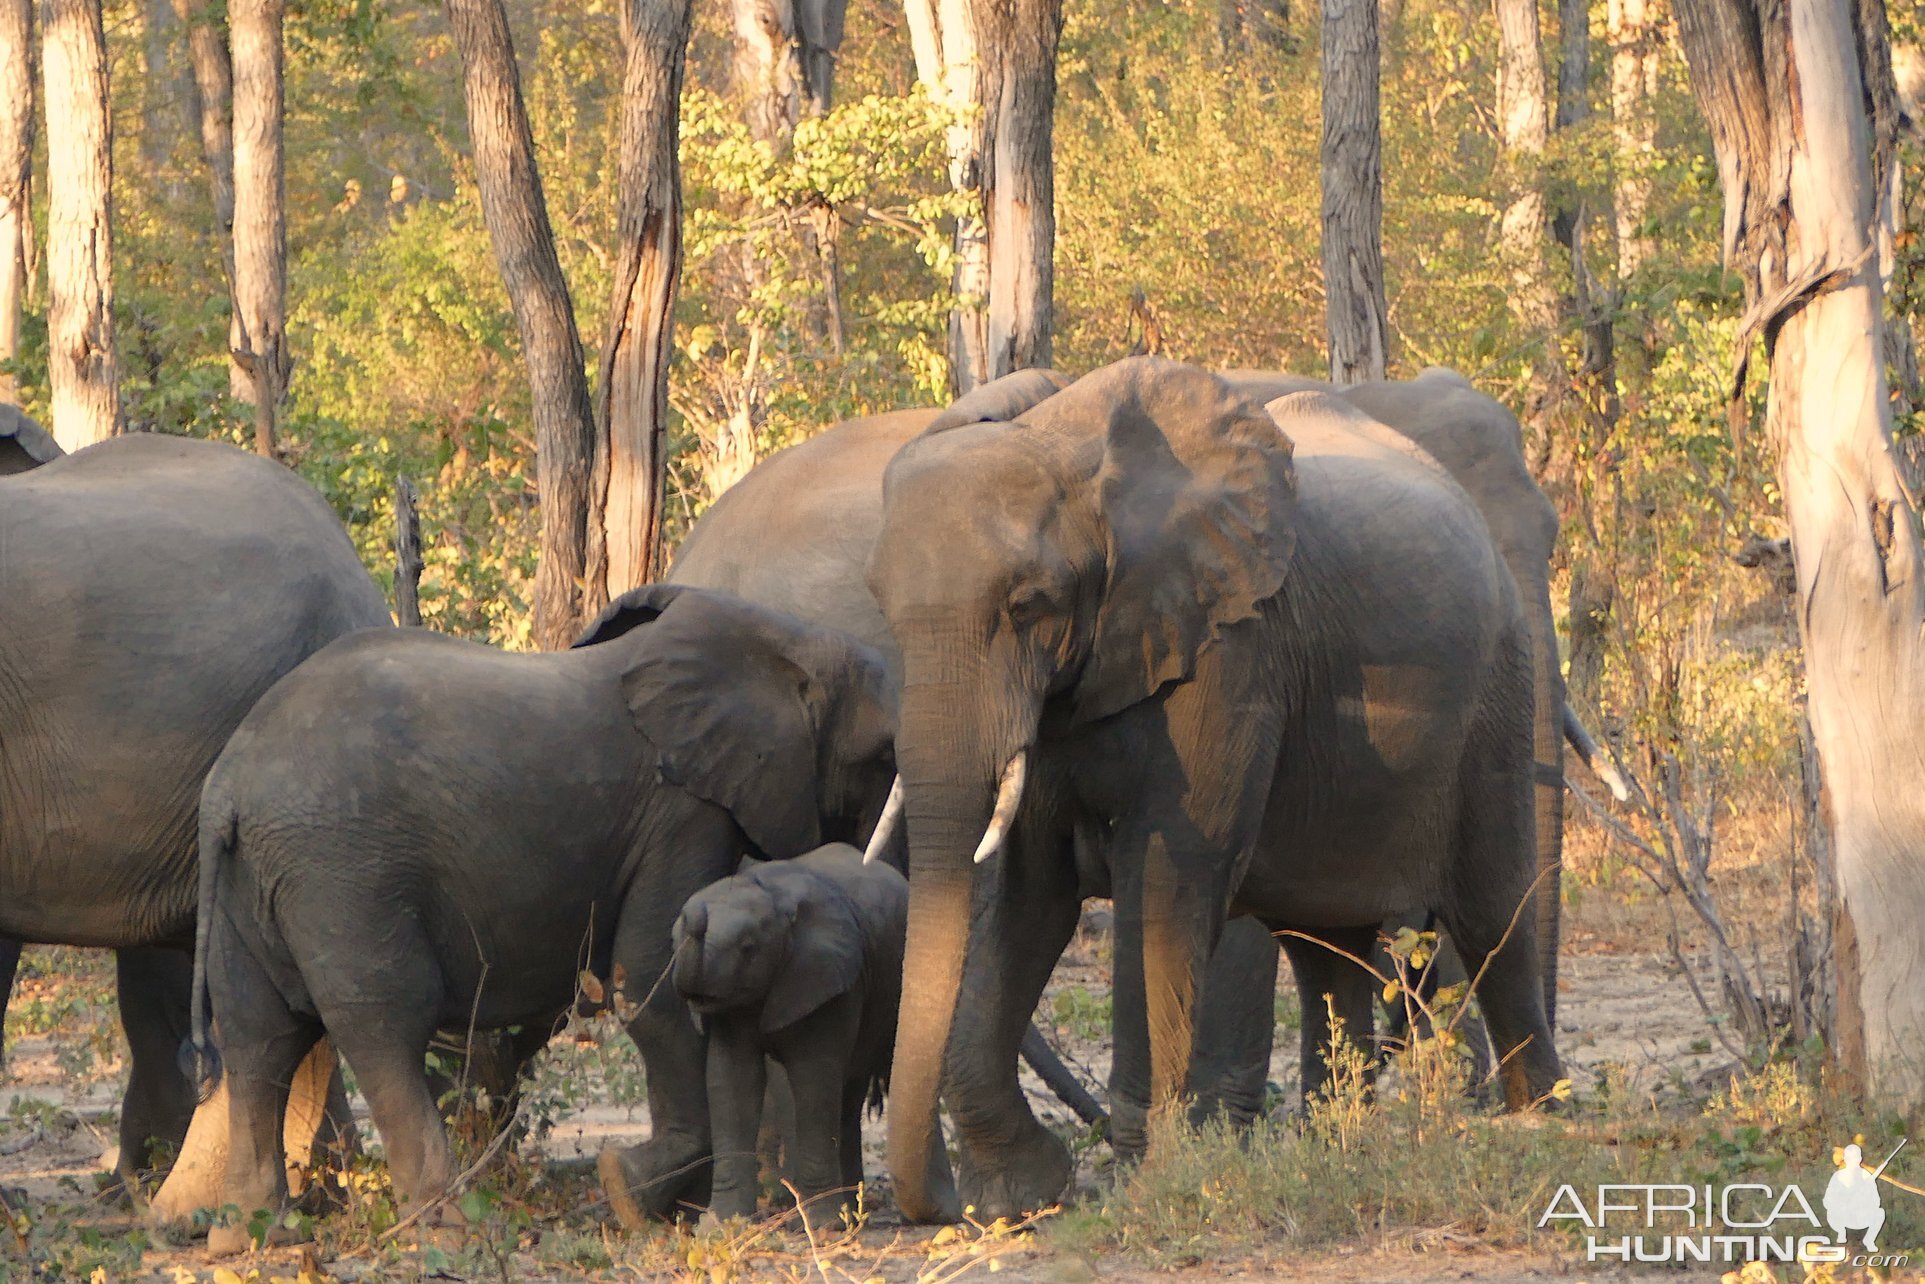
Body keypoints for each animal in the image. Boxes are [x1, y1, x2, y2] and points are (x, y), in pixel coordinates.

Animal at [677, 847, 908, 1224]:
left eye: (748, 947)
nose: (694, 914)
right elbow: (731, 1080)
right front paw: (720, 1224)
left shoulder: (825, 978)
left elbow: (813, 1079)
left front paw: (823, 1225)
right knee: (848, 1094)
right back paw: (850, 1214)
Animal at [873, 356, 1563, 1224]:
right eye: (884, 614)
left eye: (1026, 605)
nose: (935, 1206)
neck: (1072, 453)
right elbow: (1028, 898)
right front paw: (1020, 1198)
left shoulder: (1232, 650)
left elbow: (1162, 880)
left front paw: (1146, 1177)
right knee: (1325, 945)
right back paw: (1335, 1146)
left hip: (1496, 691)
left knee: (1492, 910)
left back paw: (1540, 1121)